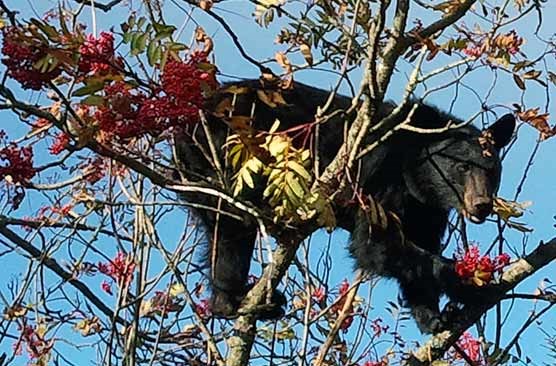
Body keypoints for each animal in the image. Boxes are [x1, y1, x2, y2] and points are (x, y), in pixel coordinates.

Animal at [175, 78, 516, 334]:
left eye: (493, 171)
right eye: (463, 167)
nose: (482, 205)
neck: (417, 175)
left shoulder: (427, 209)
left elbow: (416, 248)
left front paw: (433, 316)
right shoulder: (379, 177)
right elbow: (376, 244)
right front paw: (468, 282)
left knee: (223, 233)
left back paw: (235, 302)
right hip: (224, 152)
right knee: (233, 222)